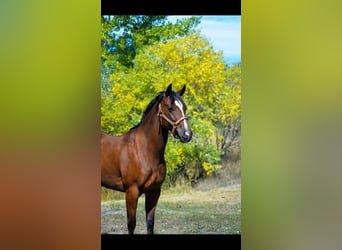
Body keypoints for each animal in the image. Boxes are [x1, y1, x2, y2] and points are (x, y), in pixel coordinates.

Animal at [101, 84, 192, 234]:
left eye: (184, 108)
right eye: (170, 107)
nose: (187, 134)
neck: (144, 151)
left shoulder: (154, 192)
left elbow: (150, 223)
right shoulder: (131, 192)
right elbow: (131, 224)